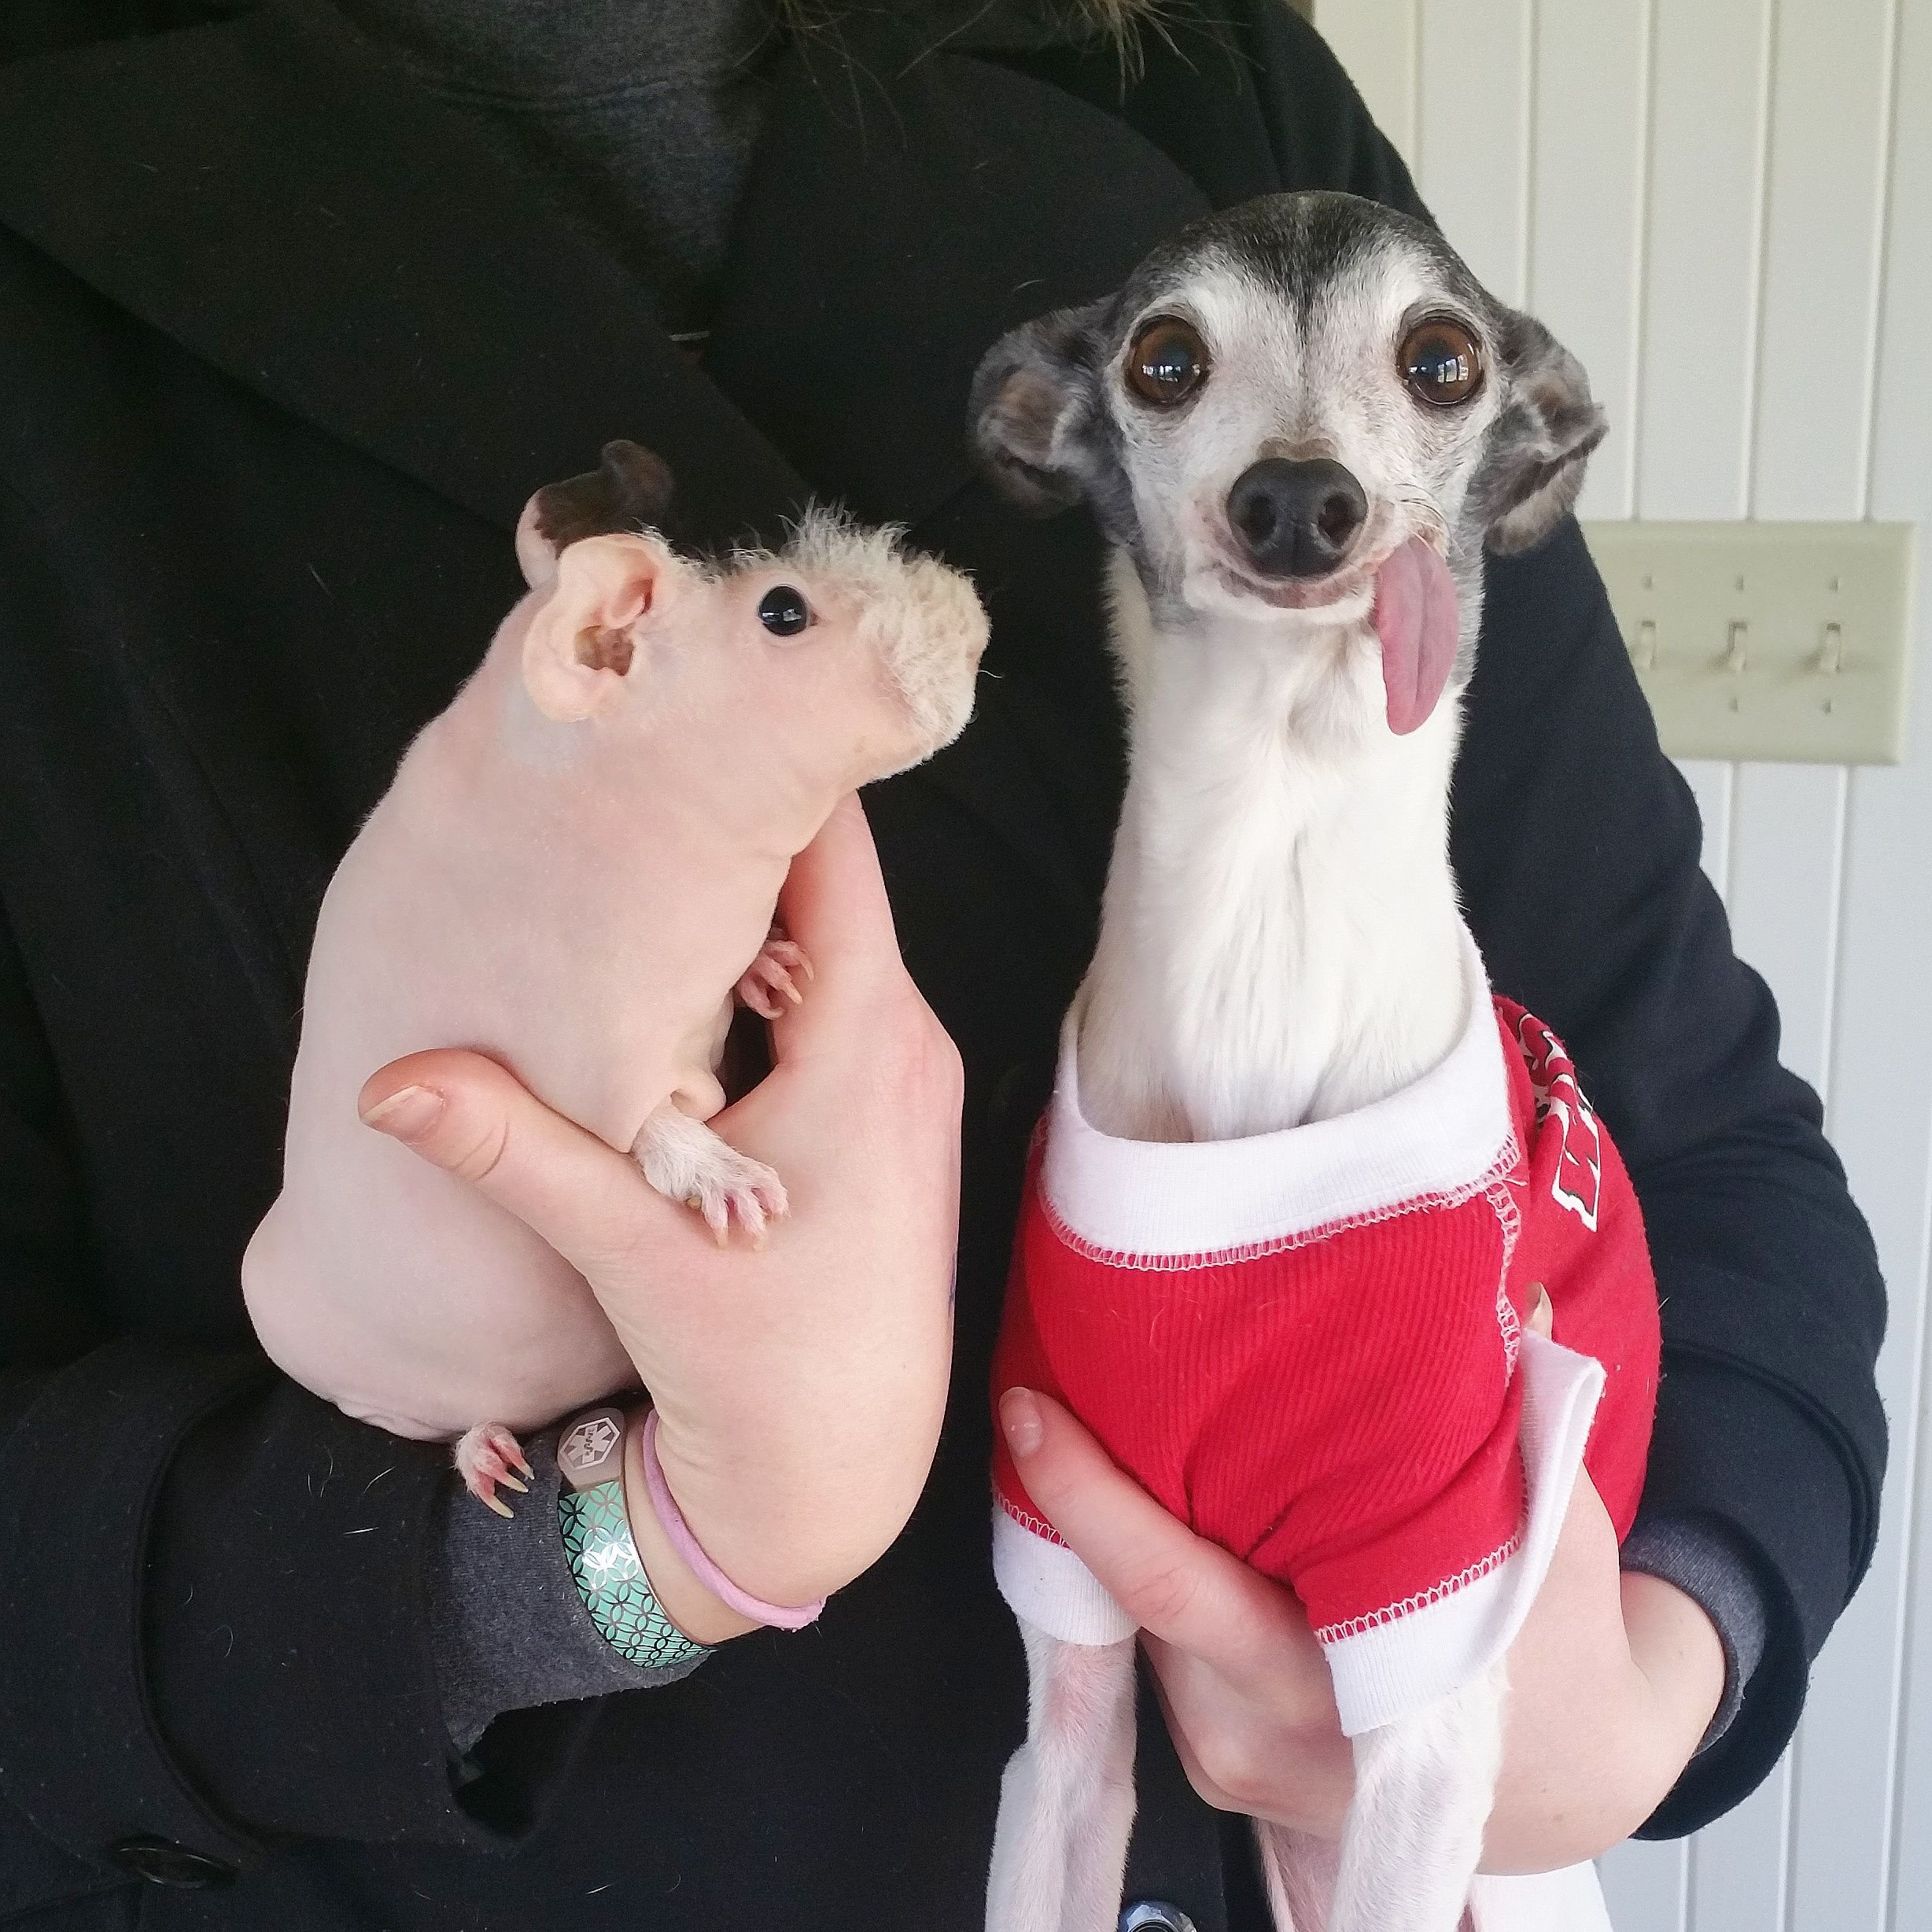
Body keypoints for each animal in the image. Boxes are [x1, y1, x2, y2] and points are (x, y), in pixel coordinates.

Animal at [969, 192, 1660, 1932]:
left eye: (1442, 358)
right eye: (1164, 356)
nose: (1297, 500)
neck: (1261, 918)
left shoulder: (1428, 1632)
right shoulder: (1065, 1675)